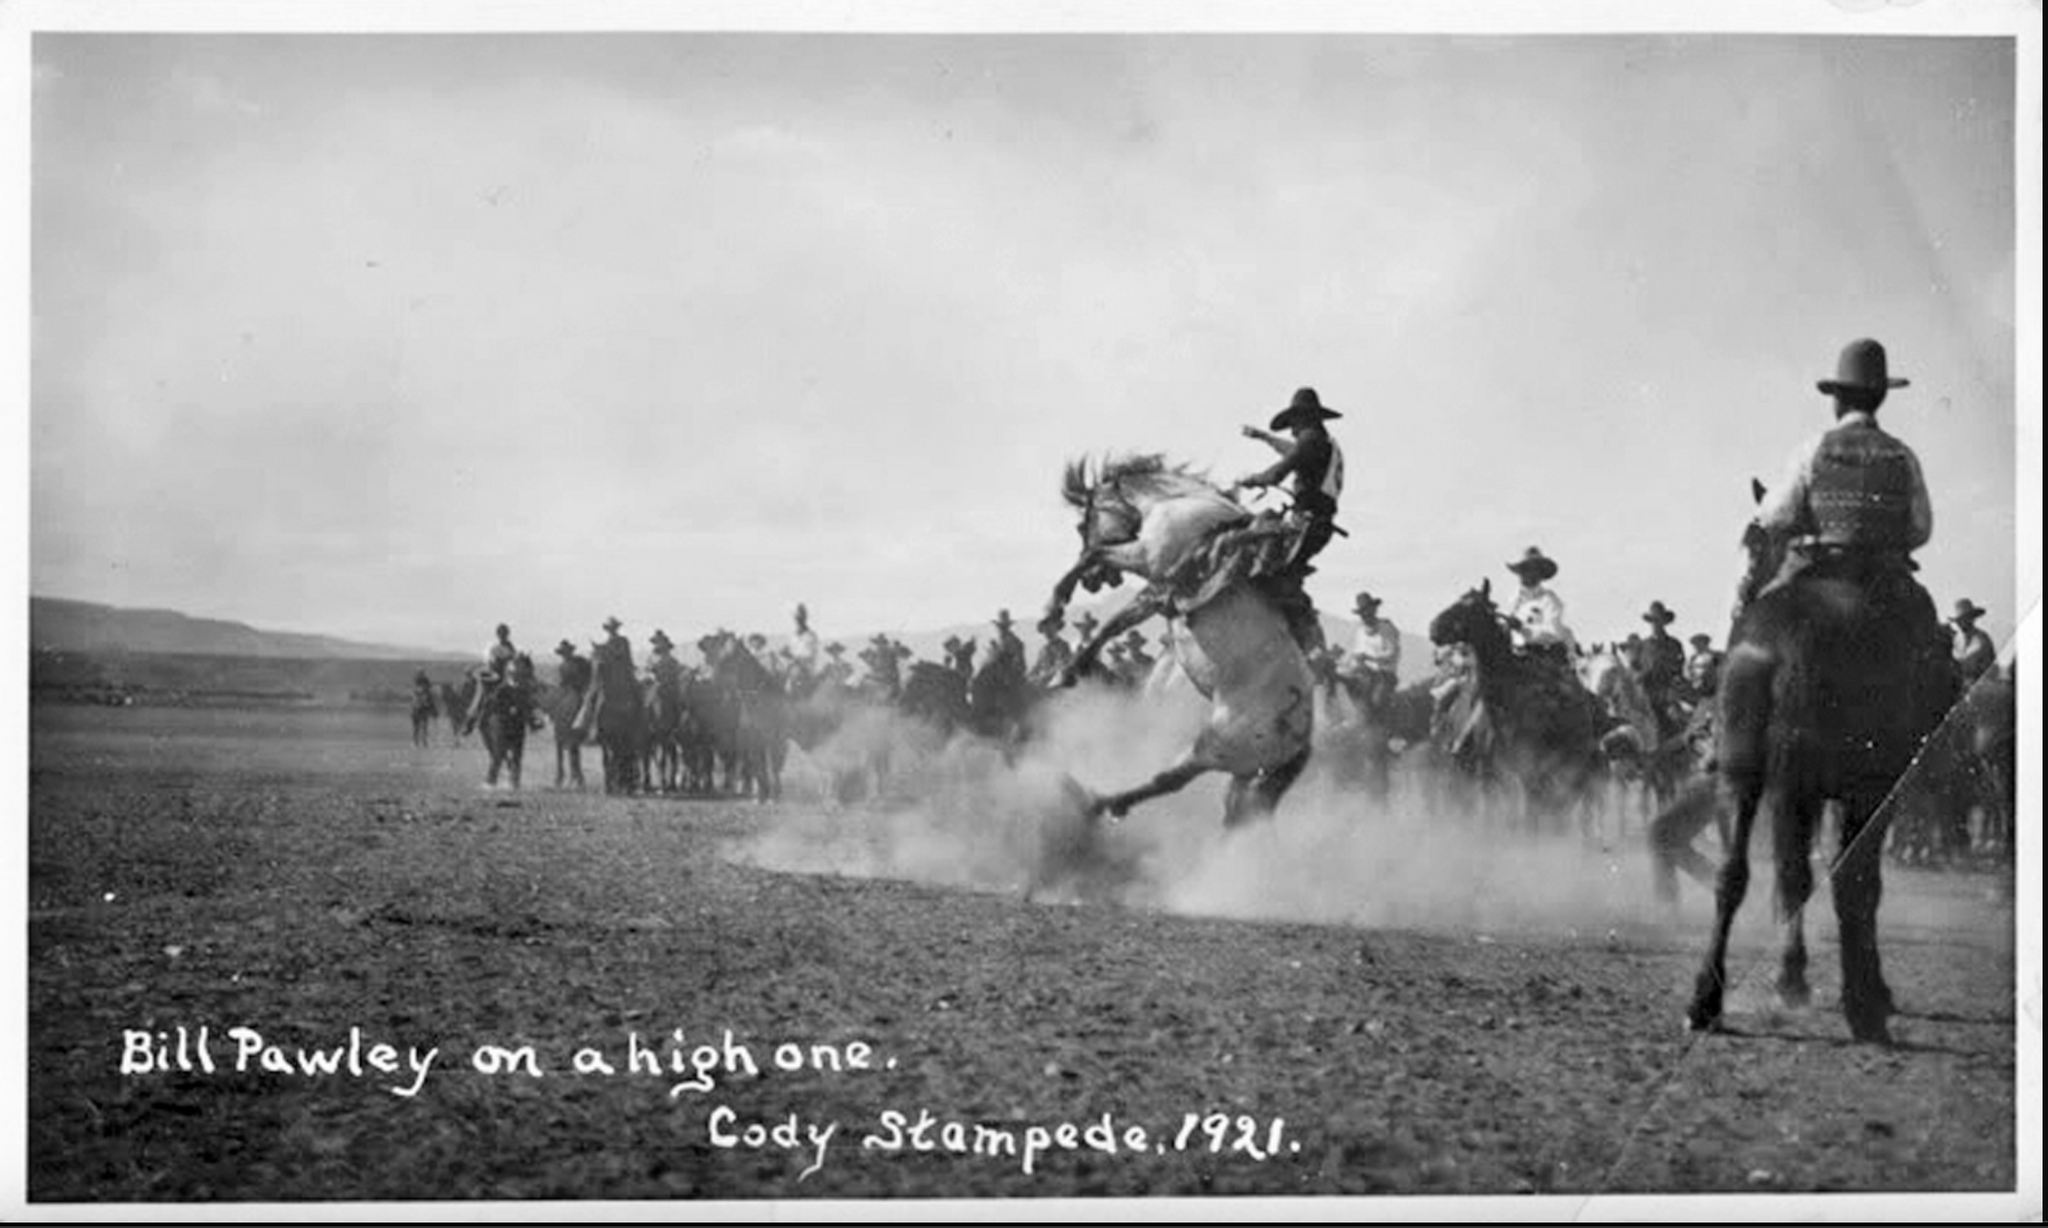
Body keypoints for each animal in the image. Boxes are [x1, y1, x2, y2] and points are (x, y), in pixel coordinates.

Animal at [1048, 450, 1318, 826]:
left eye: (1082, 525)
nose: (1094, 584)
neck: (1177, 503)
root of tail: (1300, 737)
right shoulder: (1160, 591)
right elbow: (1114, 618)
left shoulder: (1152, 572)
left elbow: (1104, 591)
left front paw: (1058, 637)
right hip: (1246, 777)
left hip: (1216, 745)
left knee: (1169, 779)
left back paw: (1095, 801)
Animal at [1671, 485, 1957, 1039]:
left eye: (1755, 543)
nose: (1741, 593)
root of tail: (1786, 648)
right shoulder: (1870, 789)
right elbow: (1859, 880)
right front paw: (1871, 989)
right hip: (1833, 784)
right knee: (1838, 879)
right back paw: (1857, 1005)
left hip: (1746, 777)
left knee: (1739, 874)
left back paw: (1706, 999)